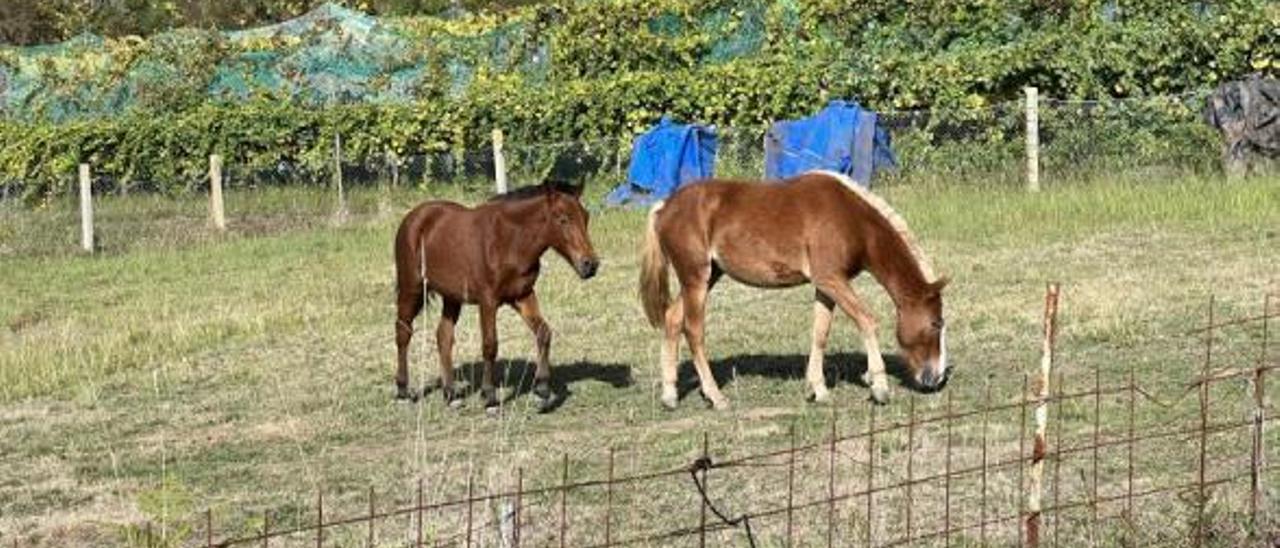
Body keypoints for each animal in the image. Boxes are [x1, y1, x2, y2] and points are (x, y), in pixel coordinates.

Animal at [640, 169, 952, 409]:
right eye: (936, 323)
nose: (937, 378)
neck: (852, 219)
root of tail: (664, 207)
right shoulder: (831, 279)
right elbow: (867, 321)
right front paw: (879, 387)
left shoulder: (826, 286)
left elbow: (820, 333)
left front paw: (819, 391)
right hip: (696, 279)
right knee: (693, 331)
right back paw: (716, 397)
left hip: (705, 278)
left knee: (672, 319)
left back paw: (670, 395)